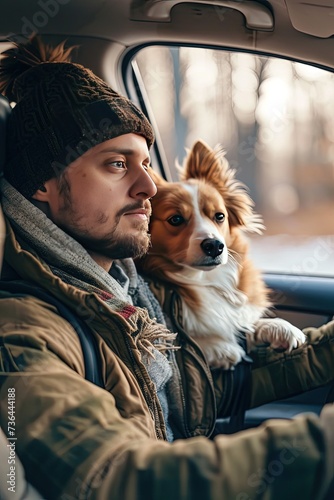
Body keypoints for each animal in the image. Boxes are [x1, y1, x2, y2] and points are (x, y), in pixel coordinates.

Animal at [139, 139, 308, 370]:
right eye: (175, 219)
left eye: (219, 216)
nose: (214, 246)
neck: (205, 279)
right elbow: (182, 342)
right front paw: (218, 347)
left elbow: (244, 324)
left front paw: (277, 327)